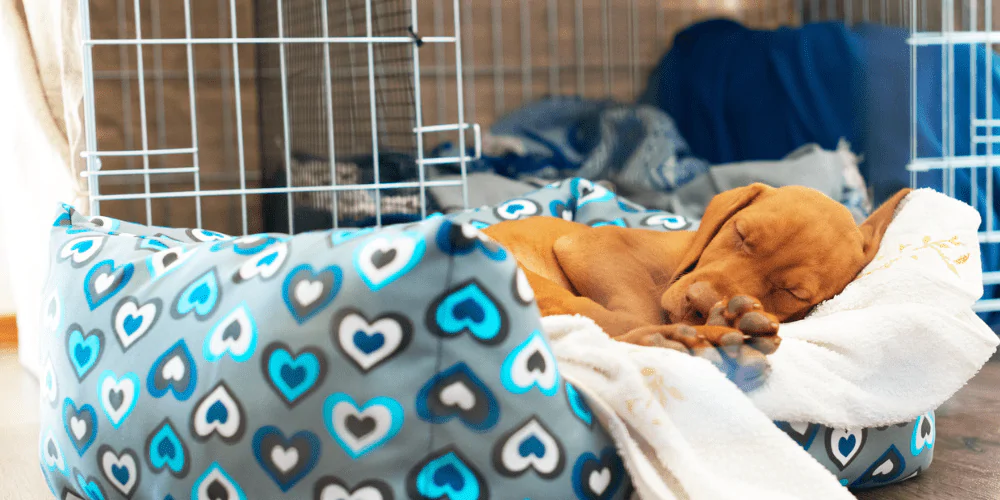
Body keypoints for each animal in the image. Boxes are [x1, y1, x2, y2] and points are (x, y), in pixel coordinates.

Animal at [480, 182, 912, 358]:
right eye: (740, 234)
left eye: (793, 293)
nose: (700, 303)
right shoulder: (590, 244)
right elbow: (638, 309)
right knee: (614, 329)